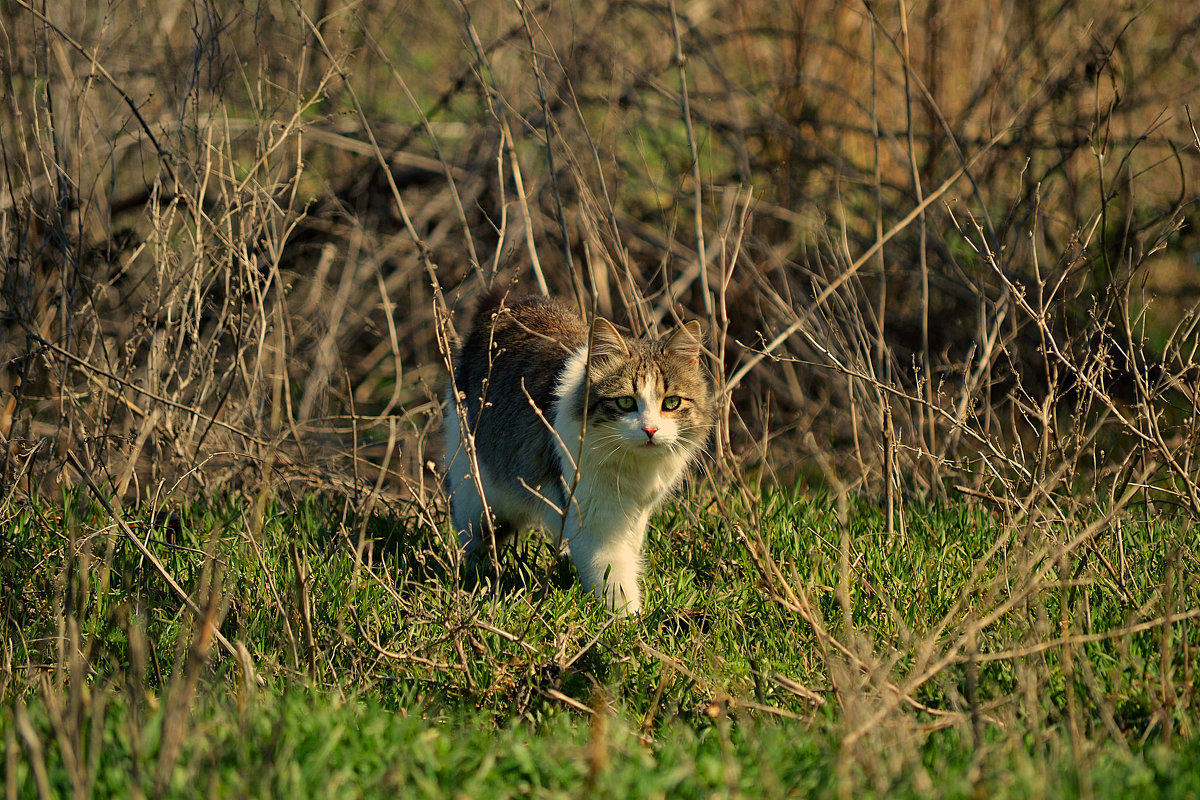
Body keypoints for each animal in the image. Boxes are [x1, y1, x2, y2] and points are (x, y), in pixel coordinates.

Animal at [446, 292, 715, 614]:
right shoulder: (596, 518)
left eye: (671, 403)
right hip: (478, 498)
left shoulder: (635, 516)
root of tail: (507, 303)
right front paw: (628, 621)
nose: (650, 430)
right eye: (626, 403)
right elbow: (614, 577)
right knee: (474, 543)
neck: (633, 466)